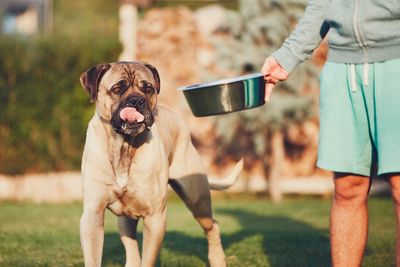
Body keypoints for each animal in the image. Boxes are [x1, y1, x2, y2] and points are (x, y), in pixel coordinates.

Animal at [77, 61, 241, 267]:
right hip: (126, 217)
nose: (136, 101)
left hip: (197, 198)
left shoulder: (155, 218)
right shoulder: (93, 215)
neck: (124, 147)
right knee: (131, 245)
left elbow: (148, 259)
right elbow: (94, 256)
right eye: (117, 89)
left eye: (148, 88)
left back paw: (217, 260)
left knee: (212, 226)